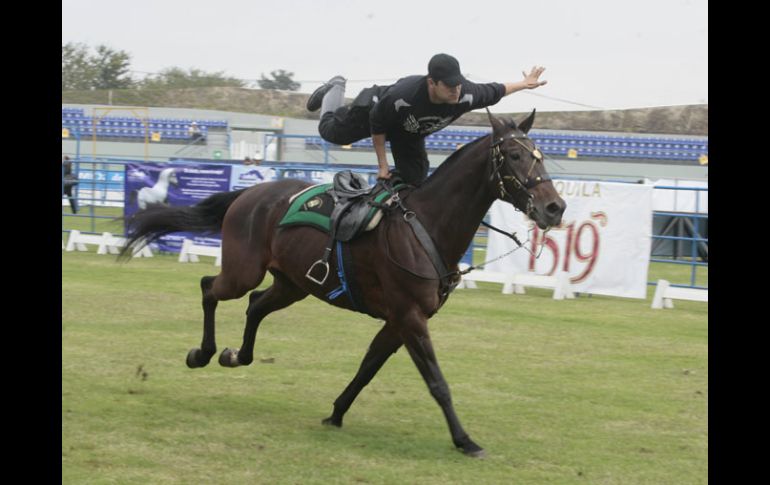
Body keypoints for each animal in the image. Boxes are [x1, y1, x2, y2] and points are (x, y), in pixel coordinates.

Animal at [121, 110, 564, 458]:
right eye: (514, 155)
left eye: (540, 155)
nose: (554, 207)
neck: (425, 225)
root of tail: (251, 192)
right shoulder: (410, 318)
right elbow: (437, 382)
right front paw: (464, 439)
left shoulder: (398, 322)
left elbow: (367, 369)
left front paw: (336, 412)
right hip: (243, 272)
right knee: (209, 287)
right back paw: (203, 352)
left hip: (292, 284)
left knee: (256, 305)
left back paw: (235, 356)